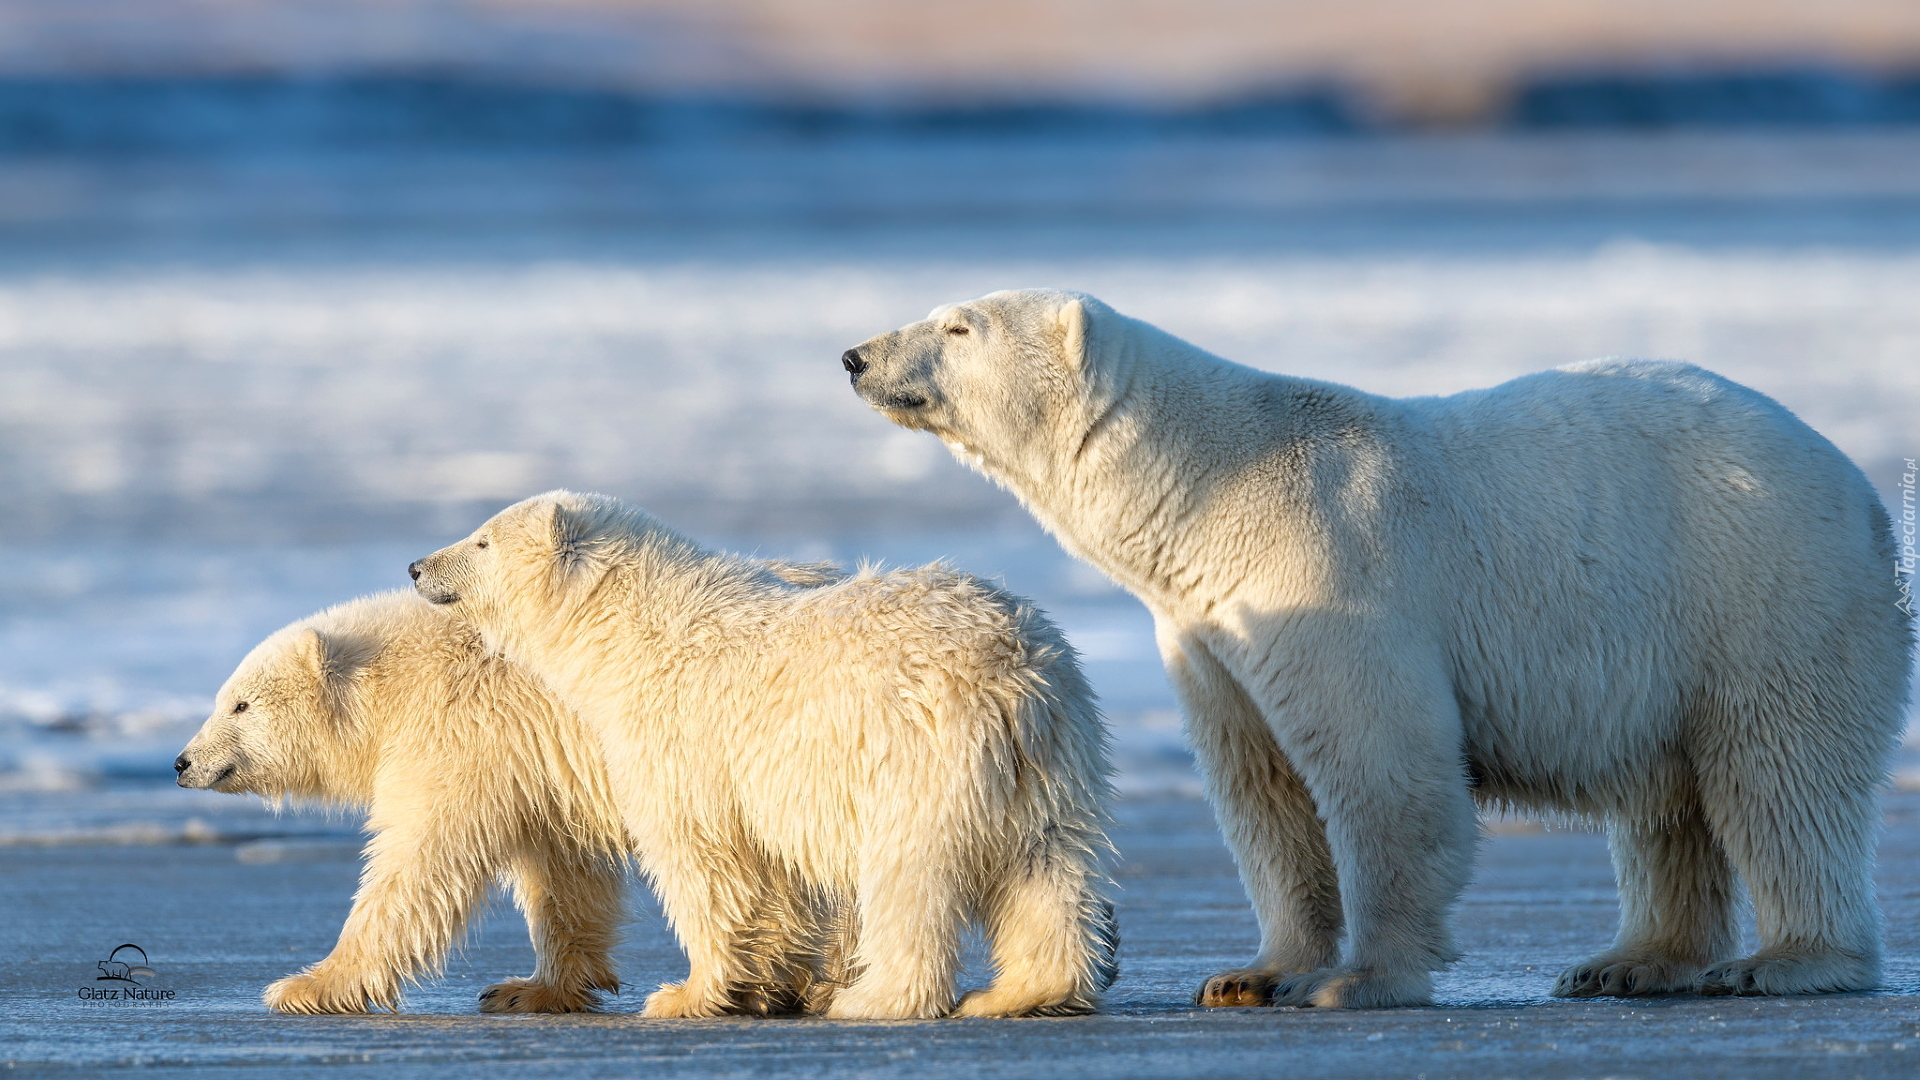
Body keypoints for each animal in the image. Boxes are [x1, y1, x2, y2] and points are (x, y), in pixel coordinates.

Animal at [412, 490, 1121, 1014]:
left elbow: (702, 863)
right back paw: (1022, 992)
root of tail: (1013, 676)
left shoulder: (680, 735)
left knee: (909, 875)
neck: (636, 632)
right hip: (1056, 761)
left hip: (920, 755)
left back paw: (876, 998)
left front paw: (685, 994)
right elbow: (771, 877)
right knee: (1046, 869)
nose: (417, 567)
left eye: (482, 540)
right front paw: (765, 985)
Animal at [848, 288, 1912, 1006]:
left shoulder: (1326, 565)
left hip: (1759, 592)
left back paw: (1785, 961)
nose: (856, 355)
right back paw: (1627, 963)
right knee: (1667, 802)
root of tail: (1860, 489)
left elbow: (1380, 764)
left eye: (959, 325)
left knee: (1779, 775)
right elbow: (1262, 789)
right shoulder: (1208, 629)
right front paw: (1250, 975)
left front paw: (1357, 979)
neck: (1210, 490)